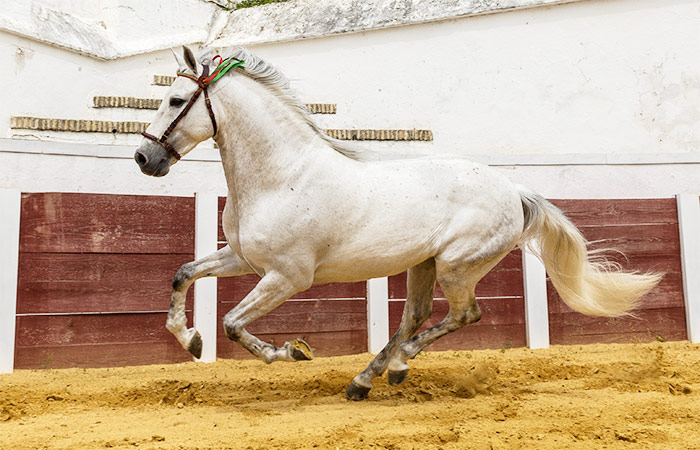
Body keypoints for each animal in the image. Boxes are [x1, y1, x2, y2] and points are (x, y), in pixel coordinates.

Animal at [135, 46, 660, 400]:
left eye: (176, 99)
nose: (144, 158)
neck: (282, 175)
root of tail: (514, 190)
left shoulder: (286, 277)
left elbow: (231, 323)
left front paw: (291, 352)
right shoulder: (244, 259)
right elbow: (184, 274)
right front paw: (189, 340)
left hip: (456, 266)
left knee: (464, 315)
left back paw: (397, 367)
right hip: (423, 264)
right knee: (415, 315)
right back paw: (364, 380)